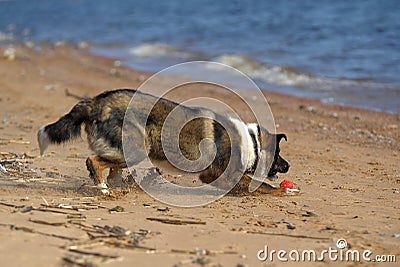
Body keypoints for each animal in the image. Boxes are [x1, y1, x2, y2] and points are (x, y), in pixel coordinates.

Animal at [37, 89, 290, 195]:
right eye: (278, 155)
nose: (288, 166)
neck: (252, 143)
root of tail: (96, 103)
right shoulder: (216, 173)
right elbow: (259, 186)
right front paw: (279, 192)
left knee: (109, 168)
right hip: (137, 149)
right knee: (93, 161)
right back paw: (102, 188)